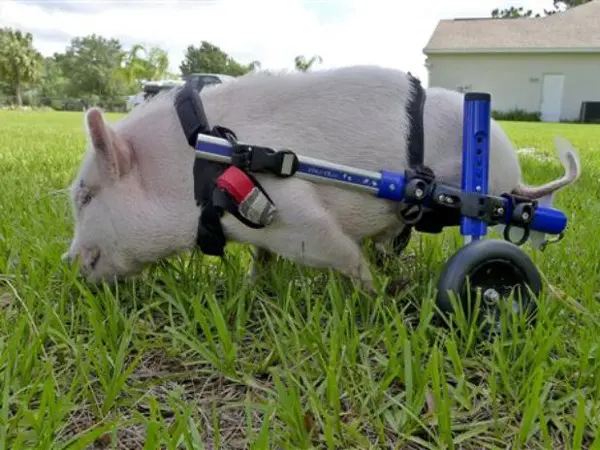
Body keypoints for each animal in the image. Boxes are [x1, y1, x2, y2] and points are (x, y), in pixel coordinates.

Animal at [62, 65, 580, 294]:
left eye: (85, 196)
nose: (67, 261)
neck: (199, 160)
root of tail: (516, 188)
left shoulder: (295, 207)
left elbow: (342, 254)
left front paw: (374, 300)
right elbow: (262, 258)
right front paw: (253, 288)